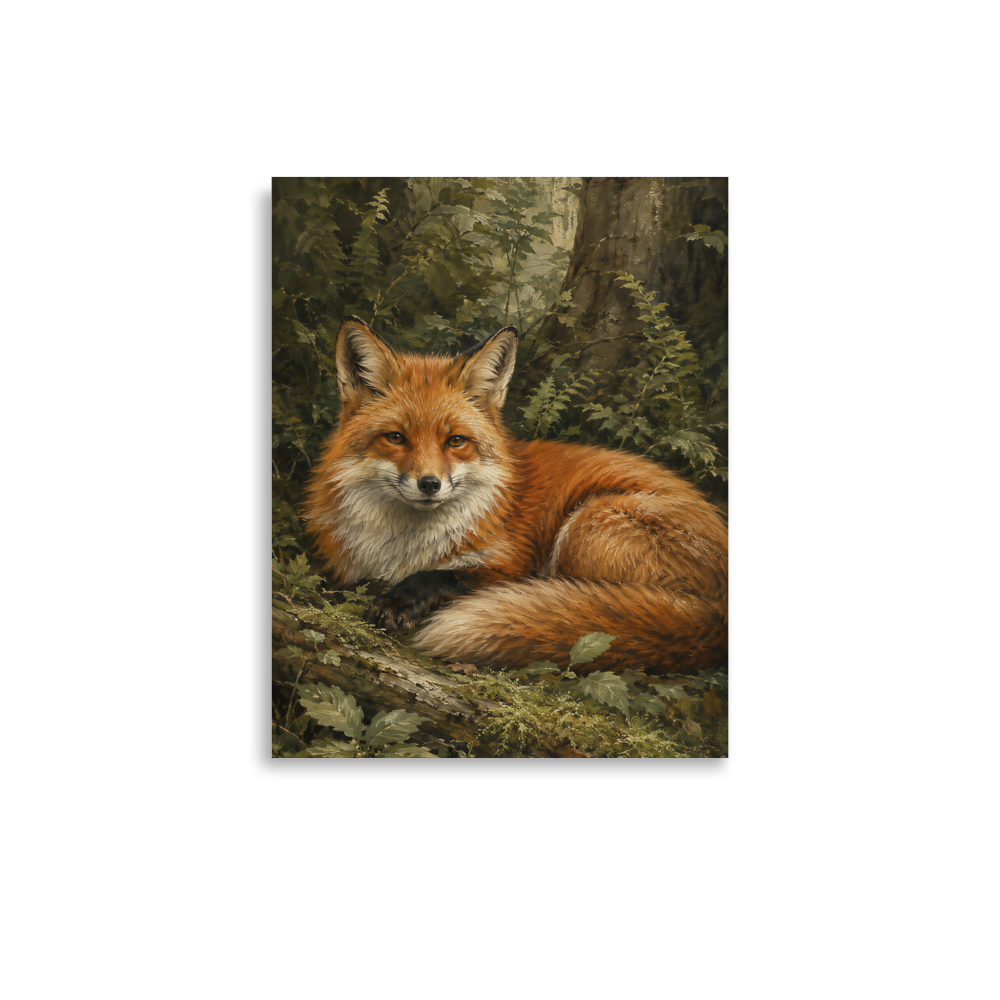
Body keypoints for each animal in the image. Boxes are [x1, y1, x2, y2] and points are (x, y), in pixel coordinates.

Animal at [303, 315, 729, 675]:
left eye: (455, 441)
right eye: (395, 438)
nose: (429, 484)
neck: (403, 547)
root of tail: (718, 617)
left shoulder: (512, 565)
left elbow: (449, 577)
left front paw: (399, 601)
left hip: (585, 528)